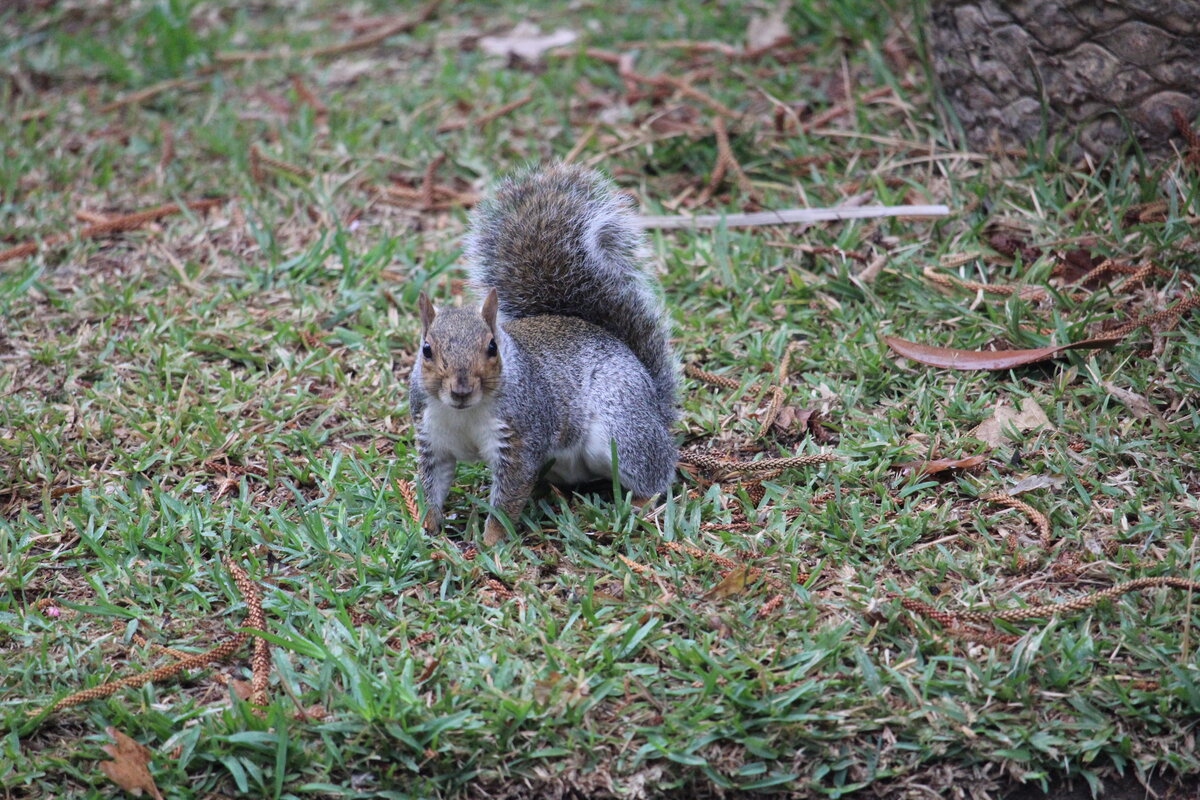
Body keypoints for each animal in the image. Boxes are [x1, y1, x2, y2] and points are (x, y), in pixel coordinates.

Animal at [410, 165, 676, 546]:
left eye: (492, 347)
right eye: (426, 350)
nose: (461, 390)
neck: (464, 414)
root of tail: (656, 403)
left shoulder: (521, 438)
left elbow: (507, 500)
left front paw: (490, 543)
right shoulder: (432, 438)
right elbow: (432, 485)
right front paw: (426, 529)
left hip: (623, 425)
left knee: (655, 471)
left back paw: (638, 505)